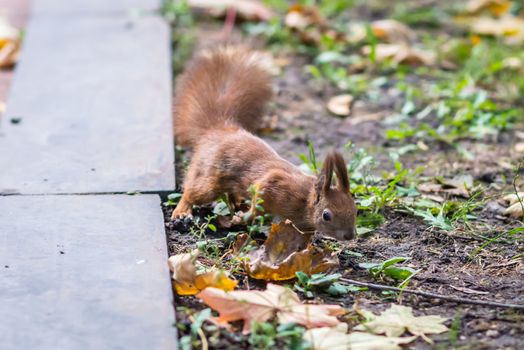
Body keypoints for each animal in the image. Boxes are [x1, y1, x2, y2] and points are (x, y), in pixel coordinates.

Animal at [171, 45, 356, 241]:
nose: (350, 236)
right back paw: (182, 211)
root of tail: (218, 129)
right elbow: (258, 204)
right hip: (210, 177)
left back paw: (236, 203)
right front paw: (243, 218)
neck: (305, 201)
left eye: (355, 209)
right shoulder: (273, 186)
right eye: (326, 215)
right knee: (193, 191)